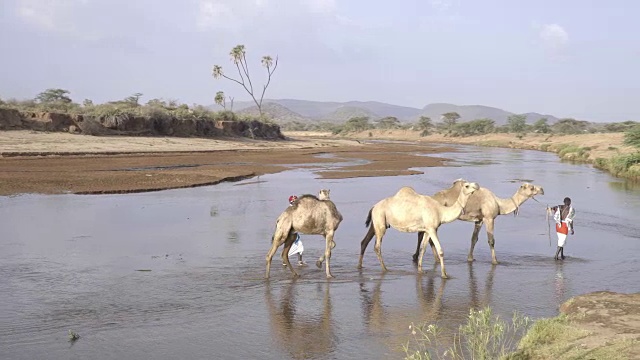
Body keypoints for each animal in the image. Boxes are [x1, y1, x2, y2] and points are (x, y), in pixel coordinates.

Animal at [410, 180, 544, 264]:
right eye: (532, 187)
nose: (542, 189)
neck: (498, 203)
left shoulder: (479, 220)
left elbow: (474, 238)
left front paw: (470, 258)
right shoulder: (489, 218)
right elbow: (491, 240)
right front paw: (495, 261)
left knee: (423, 234)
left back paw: (422, 257)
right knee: (426, 235)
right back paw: (428, 258)